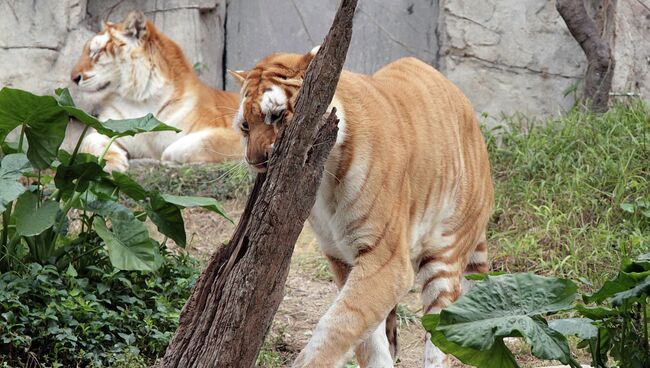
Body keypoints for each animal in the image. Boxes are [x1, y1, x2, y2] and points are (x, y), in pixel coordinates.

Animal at [230, 49, 494, 368]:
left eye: (276, 116)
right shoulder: (342, 258)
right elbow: (366, 338)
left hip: (445, 256)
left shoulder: (386, 260)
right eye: (245, 126)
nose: (254, 160)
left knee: (439, 338)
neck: (324, 180)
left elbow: (339, 324)